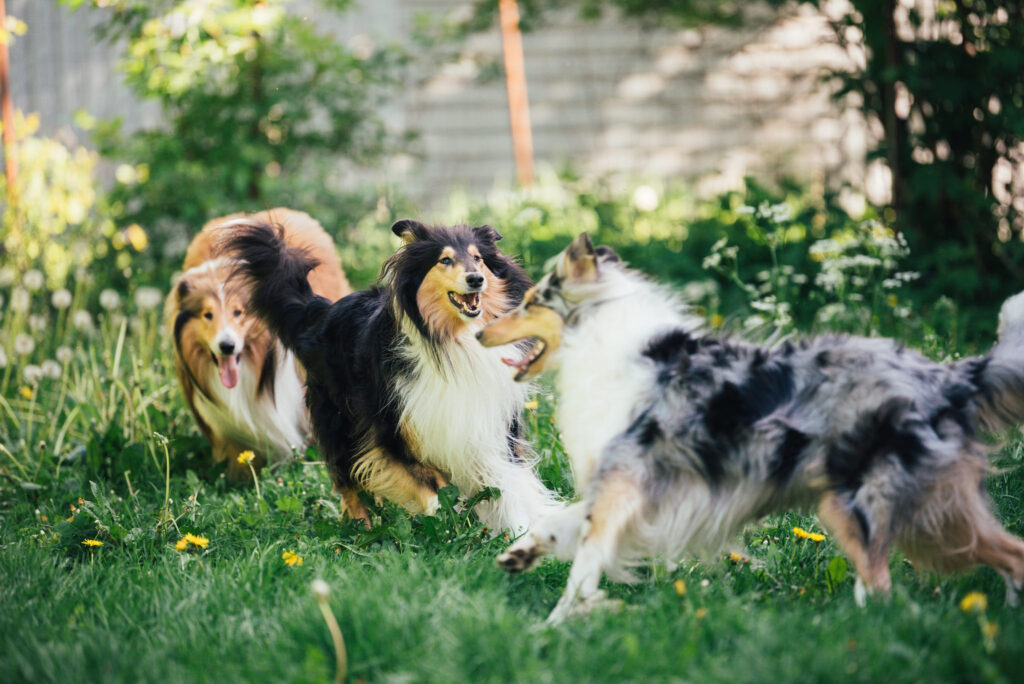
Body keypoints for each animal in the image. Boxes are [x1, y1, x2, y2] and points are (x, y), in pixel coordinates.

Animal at [222, 219, 561, 532]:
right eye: (445, 260)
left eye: (478, 258)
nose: (476, 279)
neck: (454, 341)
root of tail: (323, 310)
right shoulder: (391, 431)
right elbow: (430, 489)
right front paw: (444, 522)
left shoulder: (492, 428)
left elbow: (507, 482)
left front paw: (520, 529)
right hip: (339, 421)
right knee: (346, 480)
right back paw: (361, 526)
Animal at [479, 232, 1024, 622]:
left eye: (531, 302)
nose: (481, 331)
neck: (603, 340)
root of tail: (946, 377)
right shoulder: (632, 486)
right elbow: (564, 520)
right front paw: (524, 553)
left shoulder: (624, 481)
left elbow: (586, 561)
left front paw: (556, 623)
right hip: (938, 514)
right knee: (1011, 554)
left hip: (858, 507)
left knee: (884, 589)